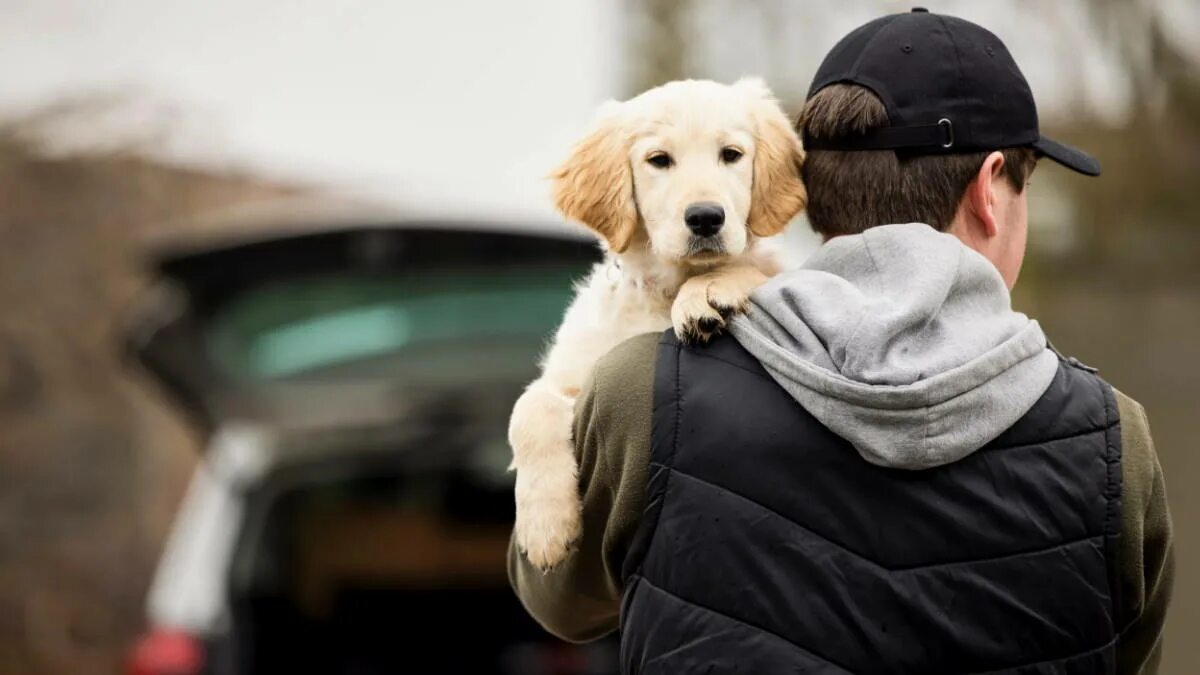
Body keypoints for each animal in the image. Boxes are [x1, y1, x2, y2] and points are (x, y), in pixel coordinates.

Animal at [506, 76, 806, 566]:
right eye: (659, 160)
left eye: (731, 154)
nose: (706, 217)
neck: (665, 288)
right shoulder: (573, 375)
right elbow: (529, 408)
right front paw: (545, 527)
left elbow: (755, 269)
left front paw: (708, 292)